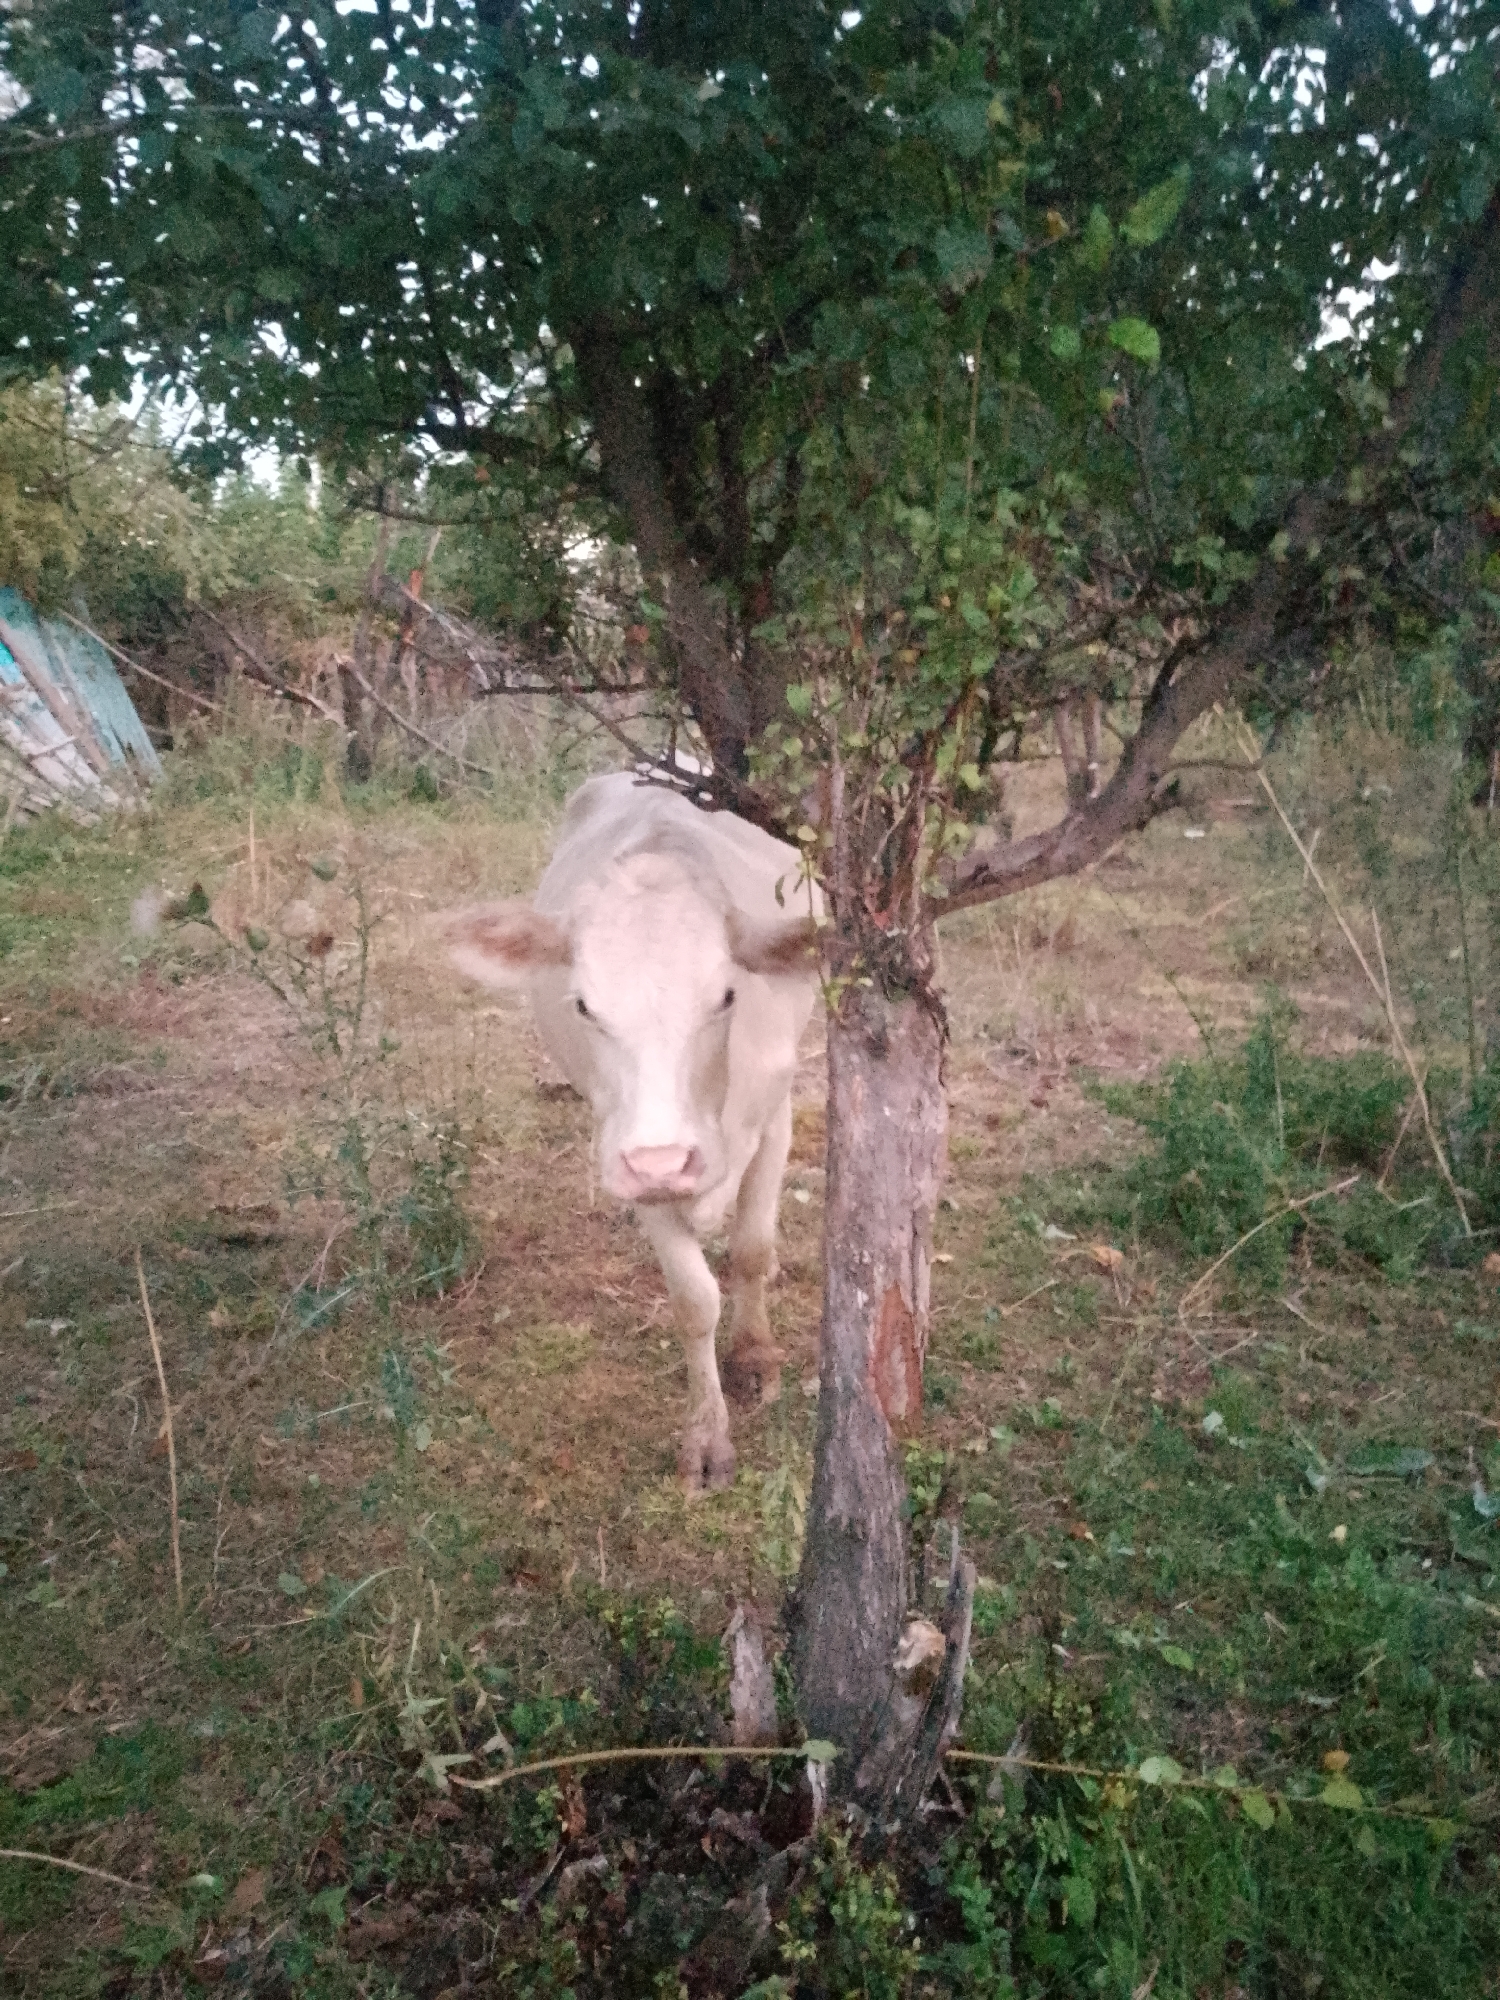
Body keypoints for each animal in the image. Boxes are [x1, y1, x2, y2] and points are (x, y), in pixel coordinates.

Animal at [445, 771, 822, 1492]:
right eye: (585, 1005)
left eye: (726, 996)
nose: (665, 1161)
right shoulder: (624, 1153)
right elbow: (694, 1299)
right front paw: (706, 1436)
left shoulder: (775, 1113)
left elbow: (751, 1248)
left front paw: (755, 1356)